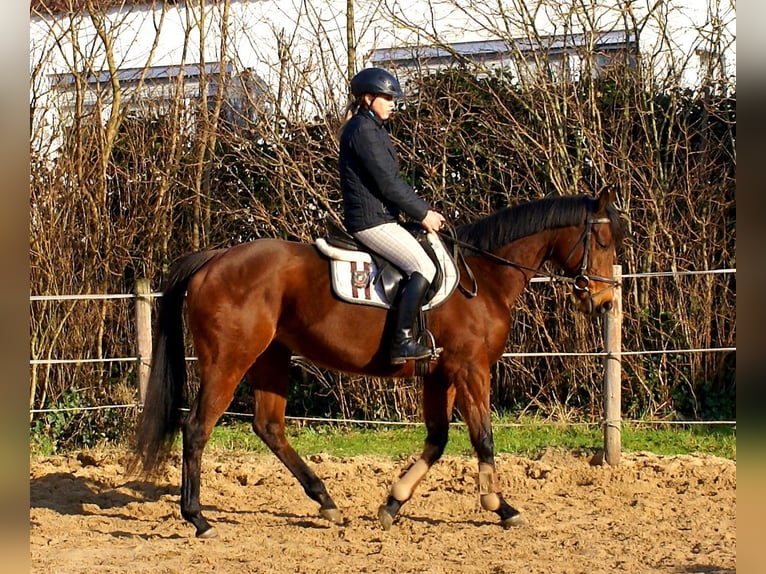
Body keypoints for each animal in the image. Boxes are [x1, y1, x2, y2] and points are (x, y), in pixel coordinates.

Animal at [132, 188, 624, 540]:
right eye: (602, 240)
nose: (603, 300)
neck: (482, 279)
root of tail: (213, 259)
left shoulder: (440, 375)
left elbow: (438, 440)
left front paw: (393, 503)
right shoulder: (471, 369)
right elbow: (482, 438)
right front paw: (501, 508)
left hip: (272, 357)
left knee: (269, 426)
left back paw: (326, 501)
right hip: (229, 361)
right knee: (197, 428)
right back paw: (197, 518)